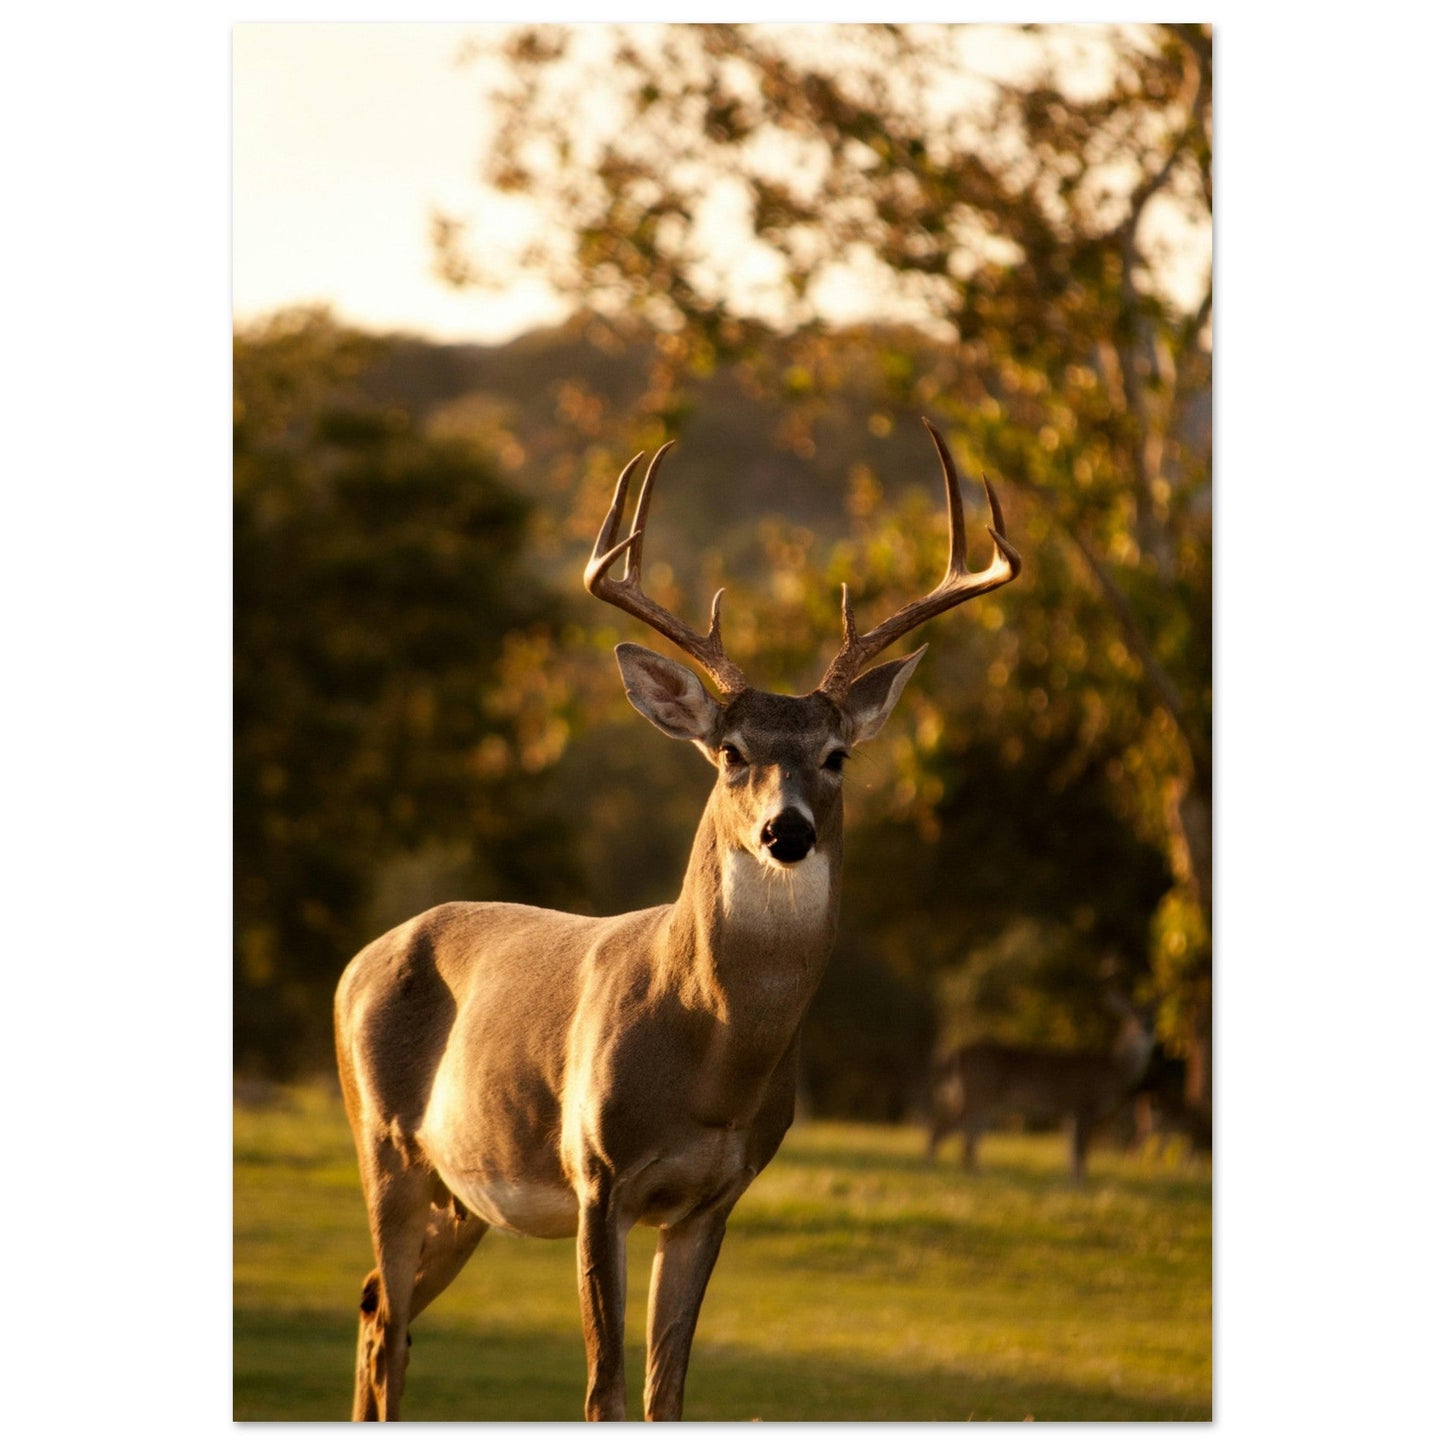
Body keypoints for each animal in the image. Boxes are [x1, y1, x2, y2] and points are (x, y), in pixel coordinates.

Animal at [333, 418, 1020, 1421]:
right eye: (729, 751)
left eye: (837, 755)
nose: (785, 830)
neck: (710, 1060)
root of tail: (358, 961)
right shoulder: (597, 1175)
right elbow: (604, 1392)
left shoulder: (713, 1199)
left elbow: (667, 1393)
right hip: (384, 1143)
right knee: (385, 1320)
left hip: (462, 1194)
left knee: (376, 1307)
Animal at [926, 990, 1154, 1184]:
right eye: (1132, 1016)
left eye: (1152, 1016)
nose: (1147, 1028)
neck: (1114, 1069)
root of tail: (953, 1055)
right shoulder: (1082, 1104)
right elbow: (1080, 1150)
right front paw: (1080, 1184)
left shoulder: (1070, 1112)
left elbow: (1071, 1150)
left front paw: (1072, 1182)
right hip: (977, 1095)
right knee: (943, 1129)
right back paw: (932, 1168)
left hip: (983, 1102)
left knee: (967, 1140)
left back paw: (975, 1174)